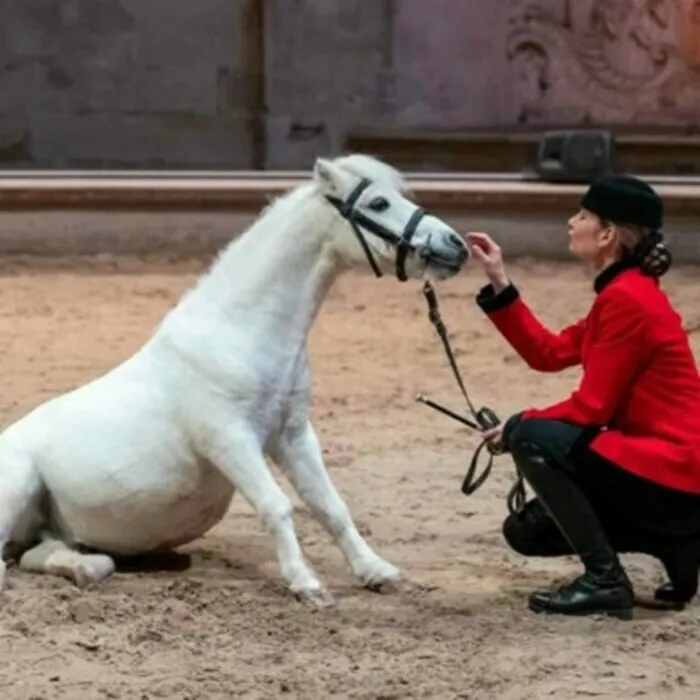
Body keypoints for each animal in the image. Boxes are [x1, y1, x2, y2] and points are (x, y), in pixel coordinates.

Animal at [1, 156, 470, 604]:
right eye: (378, 203)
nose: (457, 245)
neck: (238, 334)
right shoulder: (229, 439)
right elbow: (277, 505)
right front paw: (306, 584)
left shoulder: (293, 434)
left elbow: (330, 506)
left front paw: (376, 571)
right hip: (18, 487)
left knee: (38, 553)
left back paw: (88, 567)